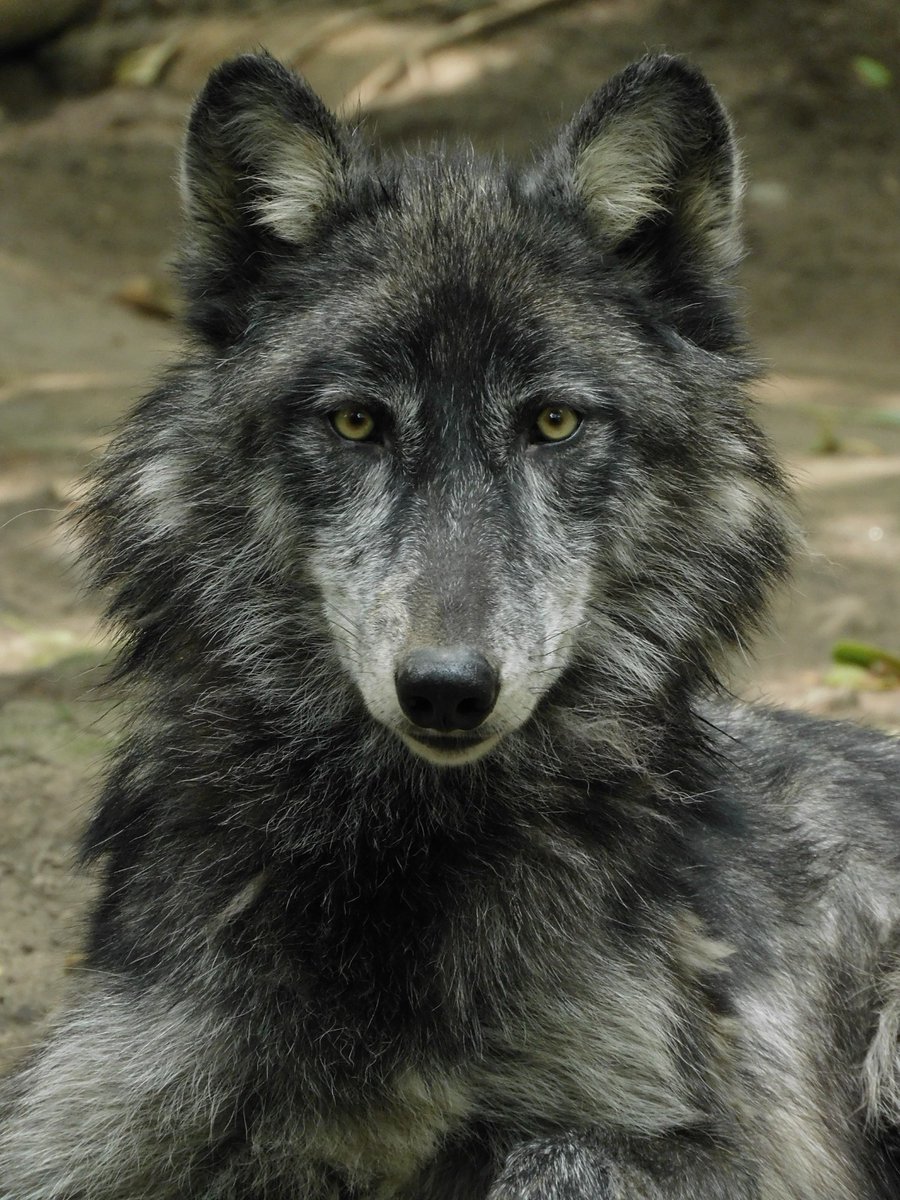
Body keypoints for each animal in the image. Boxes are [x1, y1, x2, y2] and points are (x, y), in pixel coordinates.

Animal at [1, 49, 899, 1200]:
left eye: (553, 421)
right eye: (356, 421)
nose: (446, 688)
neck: (401, 859)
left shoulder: (729, 1144)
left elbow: (549, 1155)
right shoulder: (86, 1124)